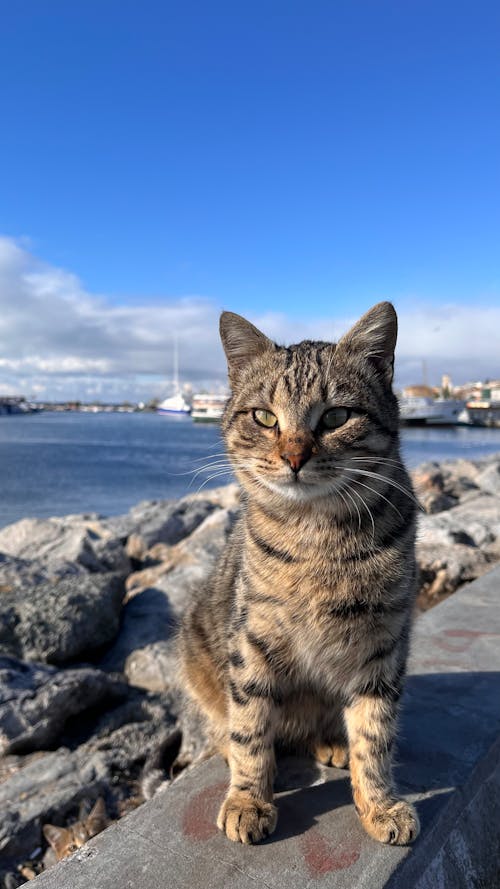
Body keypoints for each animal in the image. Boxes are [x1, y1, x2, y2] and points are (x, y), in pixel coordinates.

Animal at [178, 304, 420, 848]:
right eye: (265, 417)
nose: (293, 457)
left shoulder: (383, 645)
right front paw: (248, 799)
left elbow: (375, 734)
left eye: (335, 417)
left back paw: (332, 741)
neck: (316, 538)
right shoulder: (251, 640)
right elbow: (250, 727)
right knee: (229, 724)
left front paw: (378, 803)